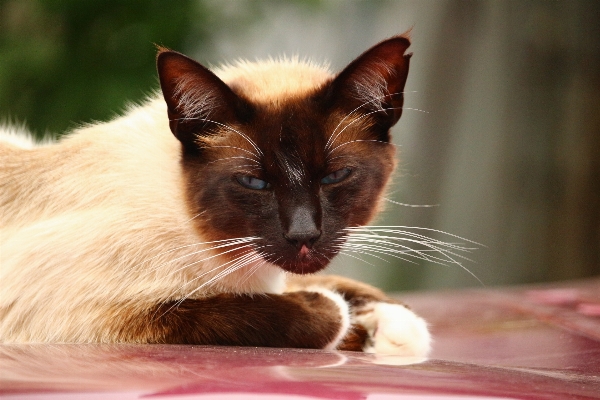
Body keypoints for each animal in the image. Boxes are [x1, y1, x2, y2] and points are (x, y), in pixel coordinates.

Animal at [0, 35, 432, 356]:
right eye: (254, 183)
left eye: (335, 176)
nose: (304, 236)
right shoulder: (96, 318)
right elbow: (284, 311)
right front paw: (348, 320)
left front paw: (393, 323)